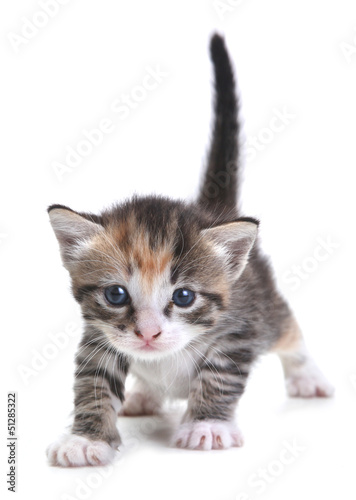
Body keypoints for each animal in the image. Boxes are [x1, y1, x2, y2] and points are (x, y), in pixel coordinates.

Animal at [46, 34, 334, 464]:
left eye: (184, 297)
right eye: (116, 295)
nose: (148, 333)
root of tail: (215, 211)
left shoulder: (239, 329)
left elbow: (218, 375)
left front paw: (207, 425)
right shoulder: (98, 336)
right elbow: (92, 382)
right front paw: (86, 439)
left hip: (267, 306)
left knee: (290, 330)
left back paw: (307, 375)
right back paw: (146, 395)